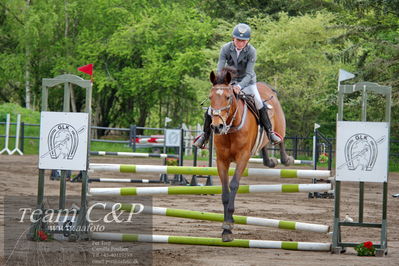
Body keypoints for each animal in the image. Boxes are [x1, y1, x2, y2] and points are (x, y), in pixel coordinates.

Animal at [209, 67, 294, 241]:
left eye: (228, 97)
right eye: (210, 97)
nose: (217, 127)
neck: (231, 128)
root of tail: (268, 87)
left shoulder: (243, 158)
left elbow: (234, 184)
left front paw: (229, 224)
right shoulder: (221, 160)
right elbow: (225, 192)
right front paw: (226, 227)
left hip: (280, 125)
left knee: (279, 138)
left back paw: (286, 159)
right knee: (264, 146)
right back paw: (271, 161)